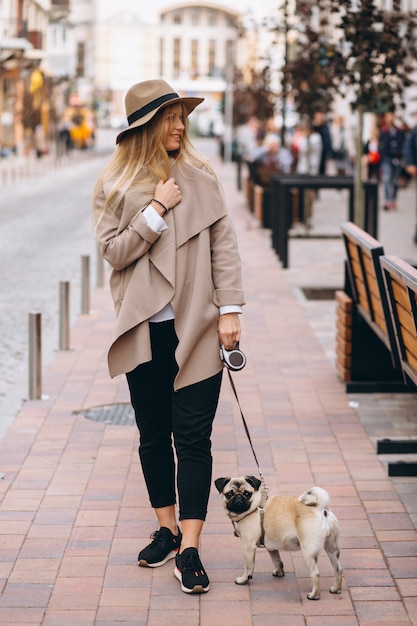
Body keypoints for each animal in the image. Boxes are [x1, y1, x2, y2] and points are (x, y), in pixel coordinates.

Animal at [214, 472, 342, 600]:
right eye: (229, 494)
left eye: (247, 494)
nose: (238, 497)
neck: (255, 506)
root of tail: (321, 508)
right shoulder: (271, 547)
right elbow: (276, 560)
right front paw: (279, 572)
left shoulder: (248, 546)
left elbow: (248, 566)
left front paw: (243, 579)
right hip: (332, 548)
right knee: (338, 568)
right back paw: (336, 589)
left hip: (308, 551)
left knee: (315, 573)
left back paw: (314, 595)